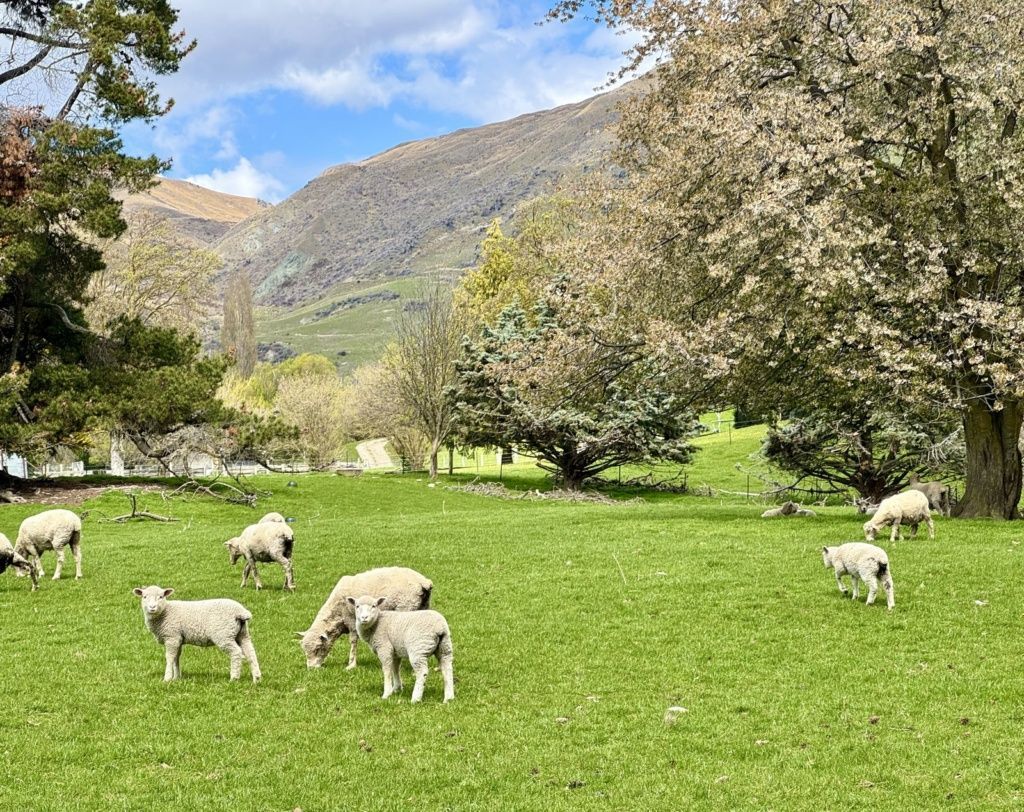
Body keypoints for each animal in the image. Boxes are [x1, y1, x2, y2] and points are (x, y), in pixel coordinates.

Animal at [132, 585, 261, 682]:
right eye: (144, 597)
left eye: (161, 597)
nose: (152, 607)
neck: (165, 612)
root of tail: (241, 612)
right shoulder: (178, 638)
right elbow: (176, 658)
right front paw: (176, 678)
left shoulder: (172, 637)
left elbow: (169, 657)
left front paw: (167, 678)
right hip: (242, 633)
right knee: (251, 653)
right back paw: (256, 678)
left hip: (223, 635)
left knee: (236, 653)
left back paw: (234, 678)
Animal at [297, 566, 432, 670]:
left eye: (318, 649)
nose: (311, 669)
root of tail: (423, 582)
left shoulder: (351, 620)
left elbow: (353, 641)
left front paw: (351, 664)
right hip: (423, 607)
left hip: (406, 607)